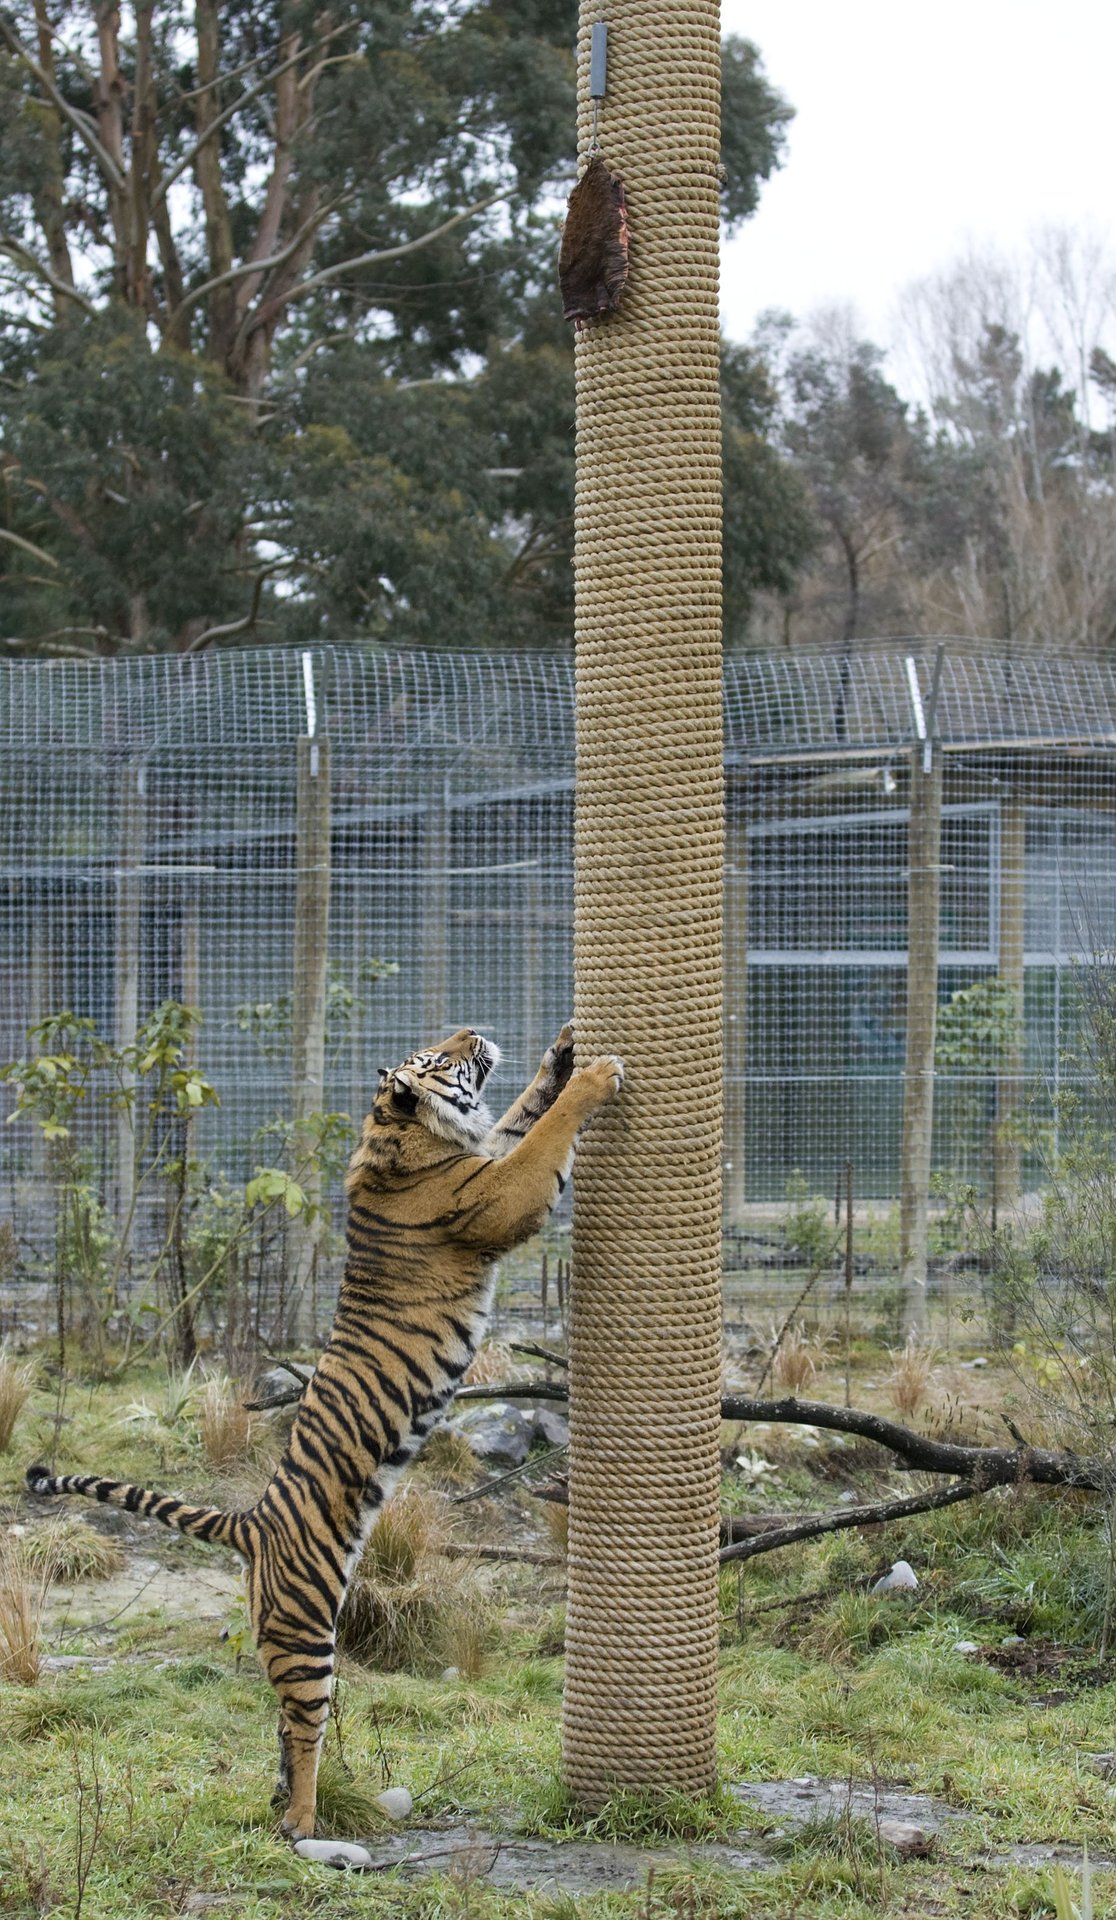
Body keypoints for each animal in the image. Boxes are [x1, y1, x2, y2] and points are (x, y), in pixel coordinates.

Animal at [26, 1023, 623, 1840]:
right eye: (440, 1057)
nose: (473, 1031)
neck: (403, 1134)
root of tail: (248, 1523)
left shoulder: (489, 1155)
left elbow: (523, 1114)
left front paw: (562, 1052)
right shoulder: (497, 1194)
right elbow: (546, 1136)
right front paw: (594, 1075)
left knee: (282, 1728)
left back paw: (286, 1806)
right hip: (306, 1635)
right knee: (302, 1728)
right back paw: (304, 1825)